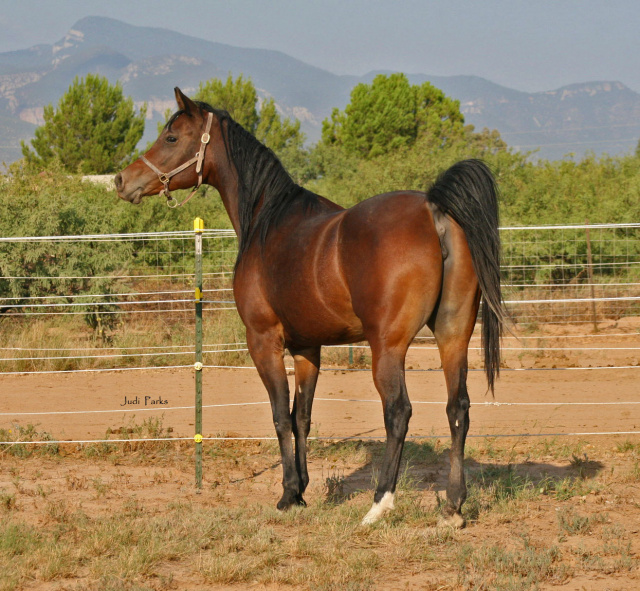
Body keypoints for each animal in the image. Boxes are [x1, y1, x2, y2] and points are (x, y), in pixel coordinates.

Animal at [115, 88, 504, 528]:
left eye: (171, 137)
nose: (122, 180)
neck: (268, 222)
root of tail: (433, 210)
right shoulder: (307, 348)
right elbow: (302, 416)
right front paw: (300, 490)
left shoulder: (264, 341)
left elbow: (280, 415)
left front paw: (287, 495)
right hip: (453, 335)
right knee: (458, 409)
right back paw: (453, 507)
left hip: (388, 347)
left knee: (398, 412)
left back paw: (379, 503)